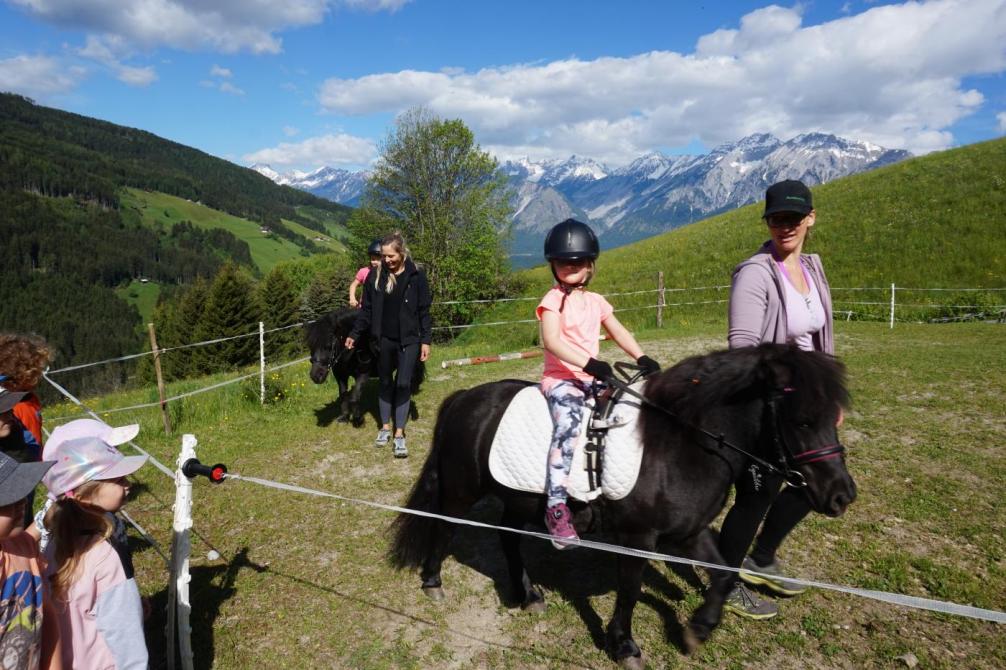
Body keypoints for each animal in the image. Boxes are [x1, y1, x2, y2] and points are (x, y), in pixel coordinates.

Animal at [388, 342, 853, 663]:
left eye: (833, 417)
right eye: (802, 421)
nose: (842, 495)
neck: (681, 444)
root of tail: (465, 397)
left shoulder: (690, 531)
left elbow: (721, 575)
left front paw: (697, 631)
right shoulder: (638, 536)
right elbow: (629, 589)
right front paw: (624, 645)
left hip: (518, 499)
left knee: (509, 540)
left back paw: (529, 595)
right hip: (461, 492)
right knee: (443, 526)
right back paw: (433, 582)